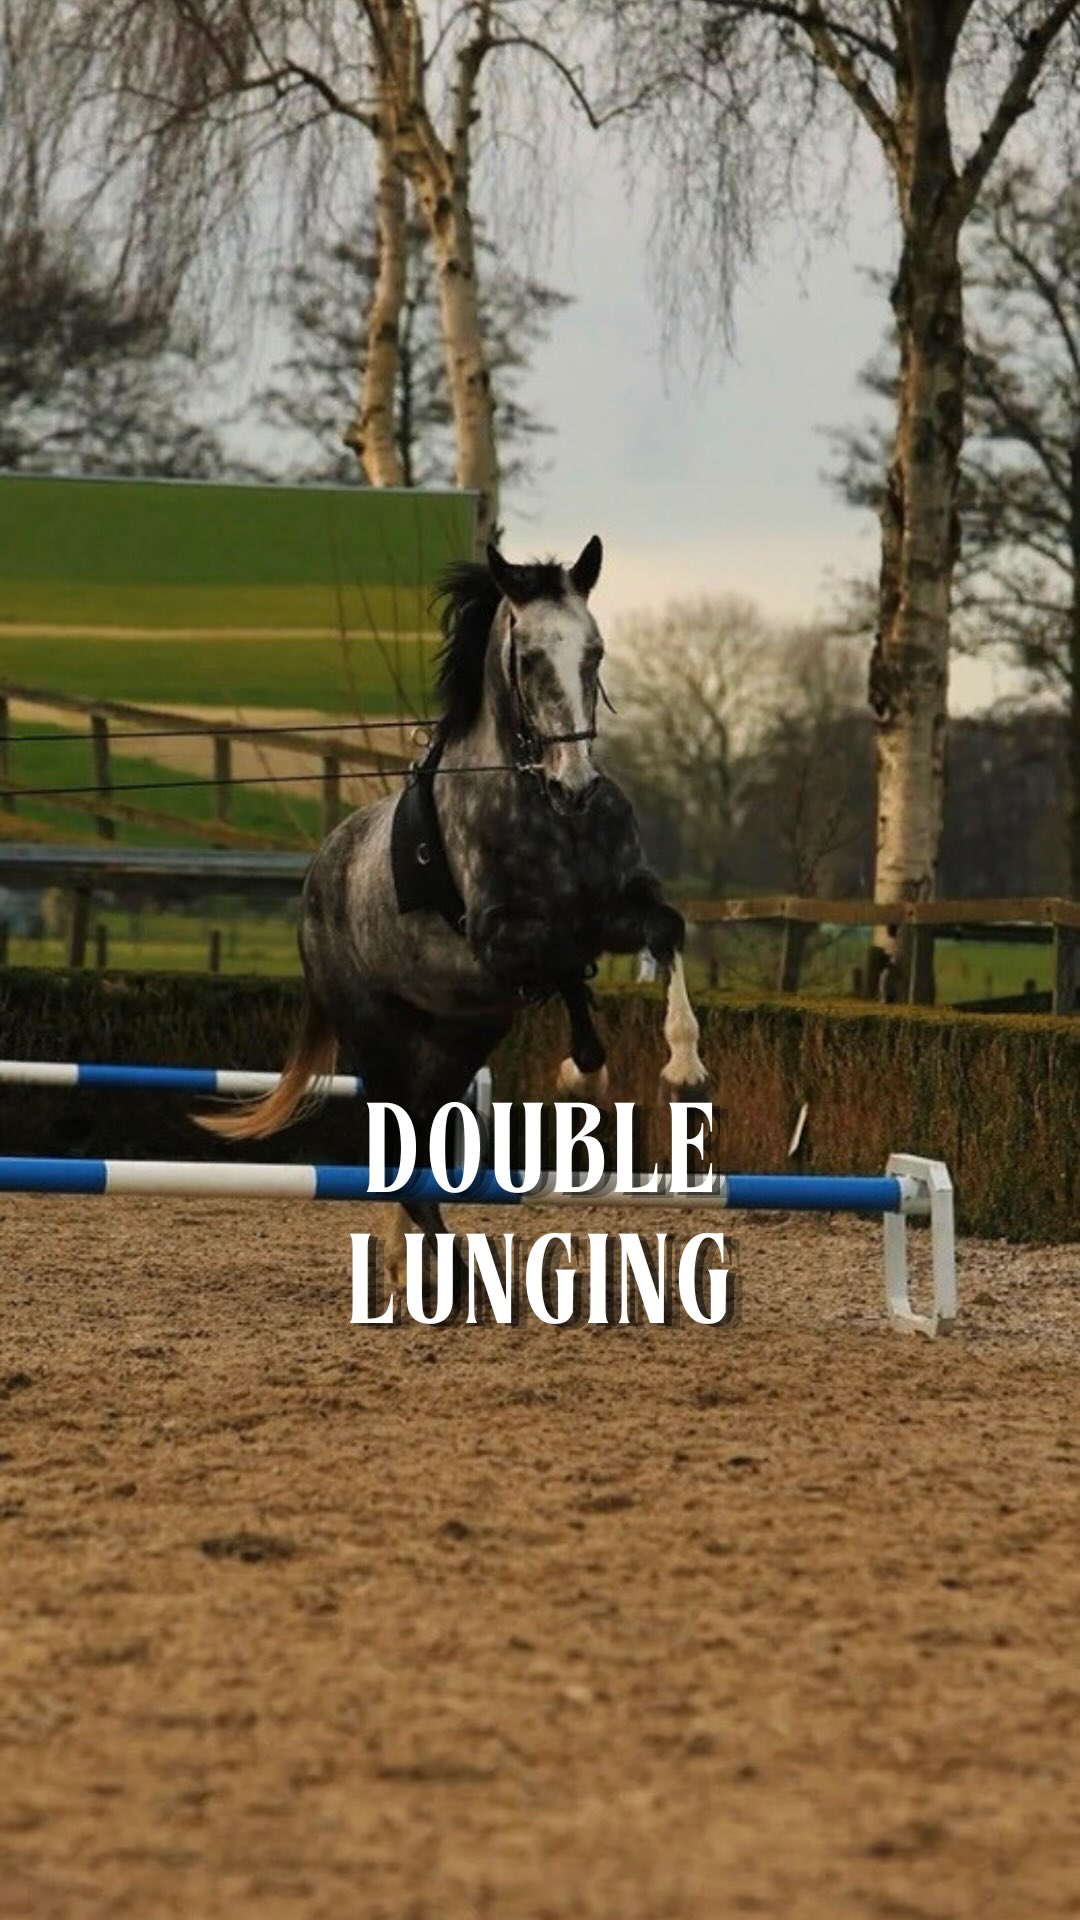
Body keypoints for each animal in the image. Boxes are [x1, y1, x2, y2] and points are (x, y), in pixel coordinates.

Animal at [198, 535, 707, 1280]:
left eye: (595, 651)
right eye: (529, 659)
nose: (577, 786)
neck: (541, 808)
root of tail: (320, 870)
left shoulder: (620, 904)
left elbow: (659, 930)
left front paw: (681, 1064)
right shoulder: (498, 939)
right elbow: (566, 957)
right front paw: (584, 1071)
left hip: (458, 1036)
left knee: (418, 1135)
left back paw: (409, 1256)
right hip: (376, 1032)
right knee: (398, 1146)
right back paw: (452, 1268)